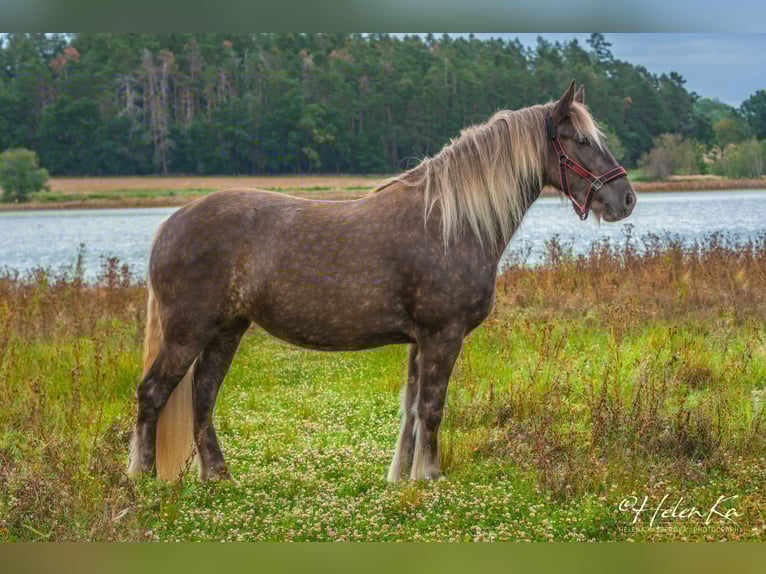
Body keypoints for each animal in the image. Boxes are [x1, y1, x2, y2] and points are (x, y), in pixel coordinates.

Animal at [128, 81, 636, 482]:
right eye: (582, 141)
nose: (625, 198)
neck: (450, 221)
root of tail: (171, 222)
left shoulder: (419, 341)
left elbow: (410, 409)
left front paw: (402, 477)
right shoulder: (443, 335)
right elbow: (431, 407)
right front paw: (430, 477)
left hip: (226, 330)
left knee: (203, 396)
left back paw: (218, 476)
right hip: (189, 333)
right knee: (153, 393)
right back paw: (144, 477)